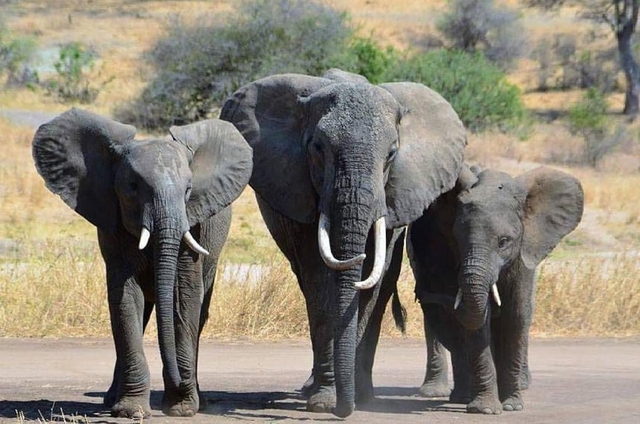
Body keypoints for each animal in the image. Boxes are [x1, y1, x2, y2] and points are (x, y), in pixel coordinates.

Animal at [32, 107, 252, 420]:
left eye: (188, 190)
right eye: (133, 187)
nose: (178, 382)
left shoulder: (193, 226)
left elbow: (183, 298)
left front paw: (182, 409)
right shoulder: (113, 226)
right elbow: (125, 298)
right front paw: (130, 411)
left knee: (198, 313)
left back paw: (199, 398)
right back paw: (112, 400)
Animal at [222, 69, 468, 418]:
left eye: (392, 154)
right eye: (317, 147)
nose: (343, 409)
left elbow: (369, 285)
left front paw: (357, 397)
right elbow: (320, 283)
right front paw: (324, 401)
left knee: (384, 283)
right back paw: (314, 388)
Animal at [408, 163, 584, 414]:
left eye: (504, 242)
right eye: (458, 240)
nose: (420, 293)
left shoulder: (523, 253)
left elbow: (515, 316)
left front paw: (512, 405)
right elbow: (478, 322)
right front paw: (485, 409)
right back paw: (460, 397)